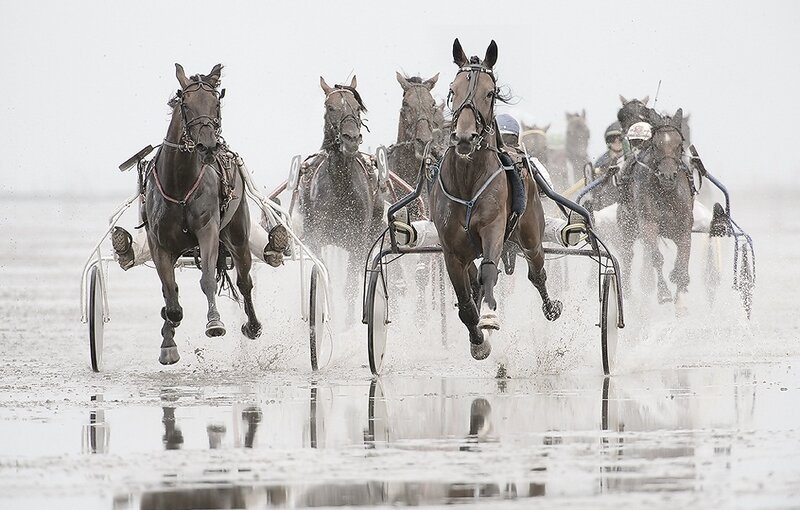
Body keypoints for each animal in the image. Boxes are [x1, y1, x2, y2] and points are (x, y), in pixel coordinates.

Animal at [144, 64, 262, 365]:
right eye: (185, 103)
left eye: (216, 103)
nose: (207, 146)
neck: (180, 183)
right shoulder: (158, 242)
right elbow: (170, 294)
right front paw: (169, 337)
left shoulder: (208, 229)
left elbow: (208, 278)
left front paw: (214, 322)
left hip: (238, 234)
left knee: (245, 282)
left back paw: (252, 326)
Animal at [297, 76, 384, 320]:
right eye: (330, 107)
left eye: (357, 107)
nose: (351, 138)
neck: (341, 189)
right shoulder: (317, 238)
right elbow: (325, 274)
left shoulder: (358, 241)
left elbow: (351, 286)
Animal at [431, 39, 562, 361]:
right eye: (453, 90)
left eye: (489, 93)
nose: (464, 137)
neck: (467, 183)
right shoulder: (451, 250)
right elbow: (466, 301)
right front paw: (478, 340)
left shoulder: (493, 227)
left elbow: (490, 271)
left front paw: (489, 317)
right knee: (474, 281)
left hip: (531, 235)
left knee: (536, 273)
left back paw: (551, 307)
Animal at [616, 108, 694, 313]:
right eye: (656, 145)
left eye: (679, 144)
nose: (668, 176)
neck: (666, 193)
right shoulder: (648, 223)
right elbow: (656, 257)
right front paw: (664, 293)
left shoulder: (684, 227)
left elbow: (683, 260)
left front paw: (681, 297)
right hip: (627, 223)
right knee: (627, 254)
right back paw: (627, 291)